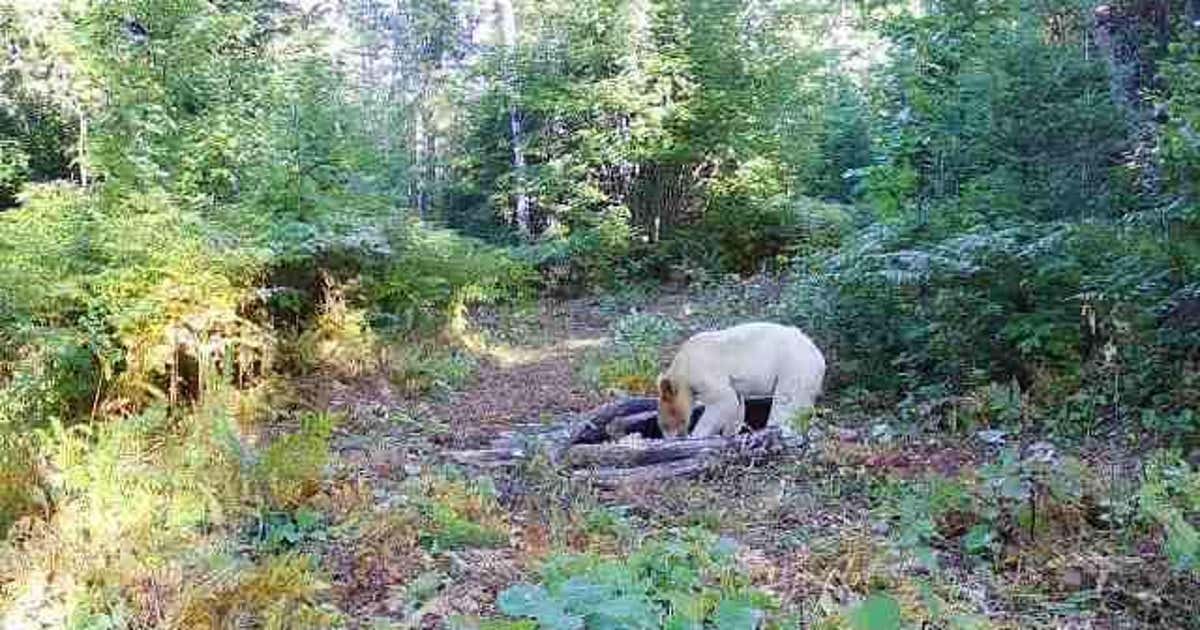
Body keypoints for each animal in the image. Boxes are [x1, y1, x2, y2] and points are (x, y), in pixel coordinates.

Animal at [657, 321, 826, 439]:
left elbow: (724, 400)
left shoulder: (702, 372)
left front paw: (696, 436)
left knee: (785, 404)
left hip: (793, 367)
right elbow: (736, 404)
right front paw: (729, 433)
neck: (683, 365)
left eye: (666, 422)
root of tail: (819, 357)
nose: (669, 437)